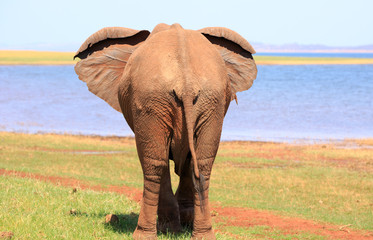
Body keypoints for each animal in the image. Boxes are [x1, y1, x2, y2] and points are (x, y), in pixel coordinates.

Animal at [74, 23, 258, 240]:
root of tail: (186, 81)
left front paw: (172, 227)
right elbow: (189, 161)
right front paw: (182, 223)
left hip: (153, 99)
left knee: (154, 163)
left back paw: (145, 233)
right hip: (209, 101)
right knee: (202, 164)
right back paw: (201, 234)